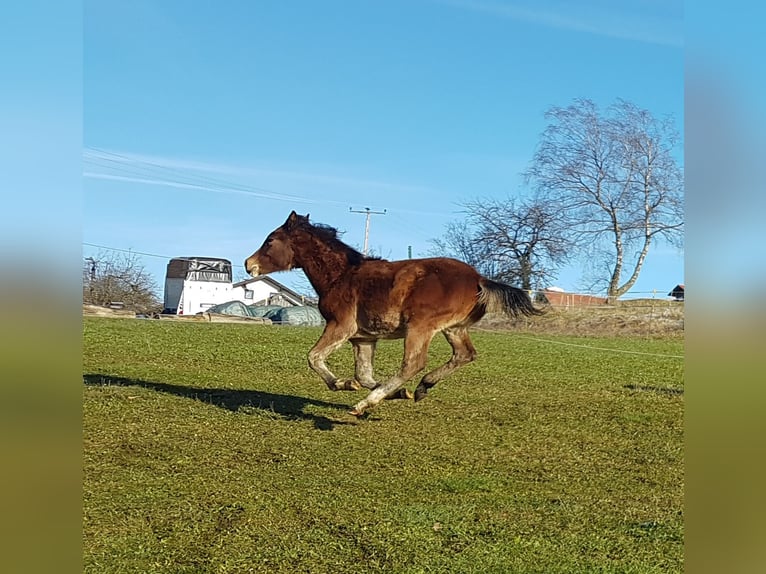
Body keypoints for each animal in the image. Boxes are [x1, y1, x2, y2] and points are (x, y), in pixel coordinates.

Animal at [244, 210, 540, 414]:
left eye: (270, 240)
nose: (248, 265)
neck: (341, 276)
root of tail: (479, 278)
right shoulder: (363, 337)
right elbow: (364, 375)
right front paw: (393, 393)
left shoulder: (341, 325)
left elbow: (314, 357)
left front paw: (343, 384)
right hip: (454, 328)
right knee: (465, 354)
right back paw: (422, 387)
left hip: (421, 326)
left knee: (414, 363)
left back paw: (365, 404)